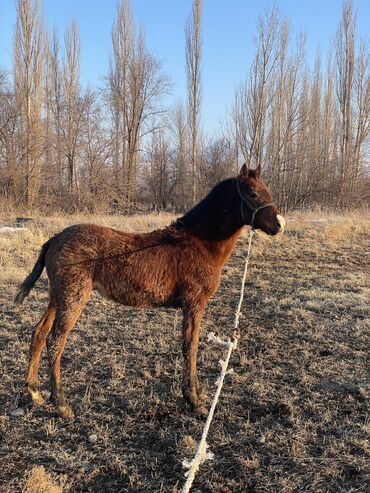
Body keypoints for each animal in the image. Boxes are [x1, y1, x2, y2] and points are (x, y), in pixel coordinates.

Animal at [14, 163, 284, 418]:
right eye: (252, 193)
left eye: (268, 190)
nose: (279, 225)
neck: (199, 243)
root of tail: (55, 238)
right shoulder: (194, 302)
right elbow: (191, 346)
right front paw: (193, 400)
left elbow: (191, 345)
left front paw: (198, 394)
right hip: (73, 298)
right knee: (55, 341)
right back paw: (61, 404)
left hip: (56, 297)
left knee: (39, 334)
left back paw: (35, 392)